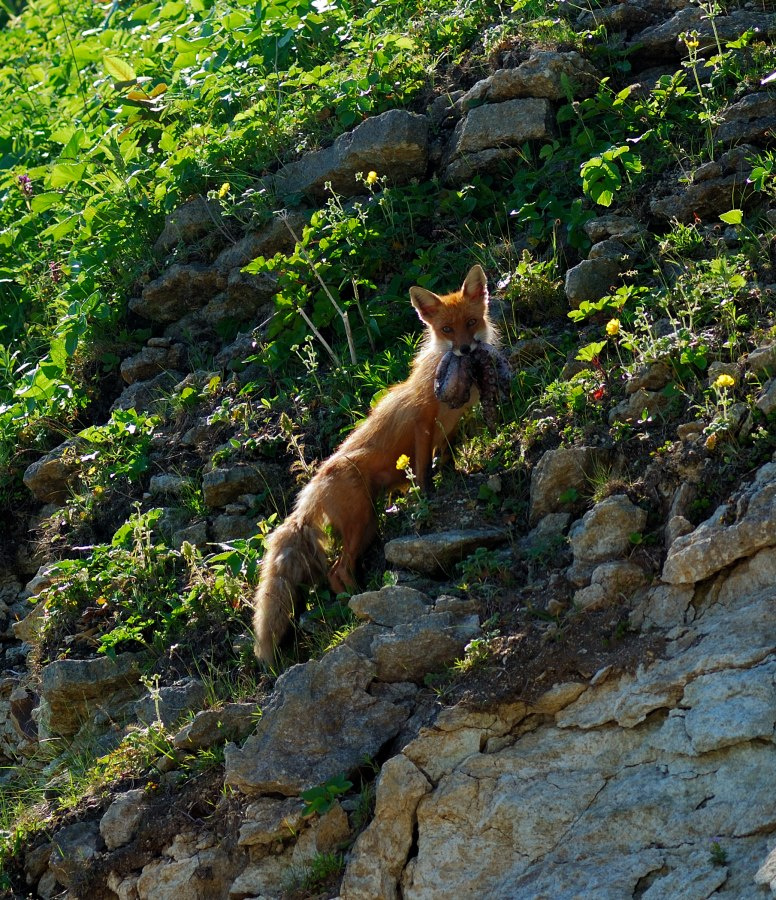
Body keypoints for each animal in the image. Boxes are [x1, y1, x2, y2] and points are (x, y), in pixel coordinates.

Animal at [253, 264, 497, 664]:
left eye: (472, 322)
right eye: (447, 329)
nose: (465, 349)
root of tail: (308, 491)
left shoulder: (450, 428)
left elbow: (447, 457)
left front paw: (455, 474)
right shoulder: (422, 426)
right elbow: (424, 469)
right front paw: (428, 495)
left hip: (367, 526)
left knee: (338, 571)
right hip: (360, 521)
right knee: (336, 571)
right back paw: (358, 602)